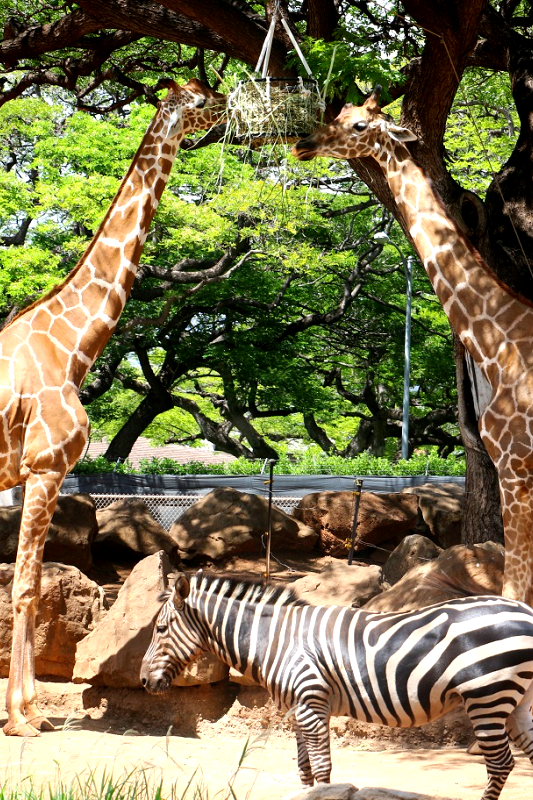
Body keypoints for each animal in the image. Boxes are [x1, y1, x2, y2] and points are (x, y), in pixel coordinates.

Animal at [0, 78, 225, 736]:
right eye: (200, 95)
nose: (229, 102)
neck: (72, 346)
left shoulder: (36, 474)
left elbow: (26, 585)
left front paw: (26, 710)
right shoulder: (45, 467)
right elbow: (25, 588)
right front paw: (21, 718)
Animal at [138, 568, 532, 800]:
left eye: (160, 629)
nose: (142, 680)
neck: (274, 639)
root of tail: (524, 610)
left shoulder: (312, 705)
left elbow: (324, 771)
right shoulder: (298, 710)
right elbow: (304, 770)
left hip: (486, 696)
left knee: (500, 763)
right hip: (517, 702)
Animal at [290, 89, 533, 608]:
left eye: (360, 125)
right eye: (340, 113)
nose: (302, 144)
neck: (502, 340)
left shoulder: (516, 468)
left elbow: (516, 588)